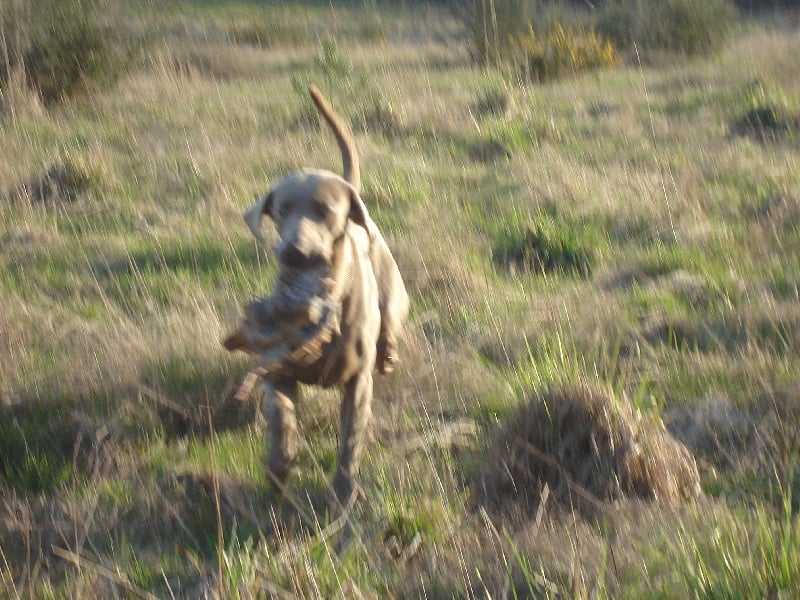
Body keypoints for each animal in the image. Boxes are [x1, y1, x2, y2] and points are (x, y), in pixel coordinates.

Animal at [230, 86, 409, 512]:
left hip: (393, 293)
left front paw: (343, 495)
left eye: (324, 211)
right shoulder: (277, 372)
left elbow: (350, 445)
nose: (293, 253)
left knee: (391, 324)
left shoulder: (357, 385)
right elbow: (281, 424)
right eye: (280, 210)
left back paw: (390, 351)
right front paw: (280, 470)